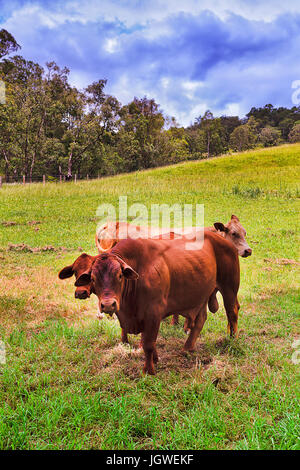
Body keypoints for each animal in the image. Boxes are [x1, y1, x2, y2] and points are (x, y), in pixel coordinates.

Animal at [74, 231, 239, 374]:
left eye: (120, 275)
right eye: (93, 278)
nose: (108, 304)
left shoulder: (153, 313)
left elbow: (148, 343)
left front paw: (149, 370)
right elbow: (148, 342)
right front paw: (155, 359)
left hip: (229, 288)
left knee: (232, 312)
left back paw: (232, 339)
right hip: (201, 294)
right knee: (201, 319)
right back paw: (188, 347)